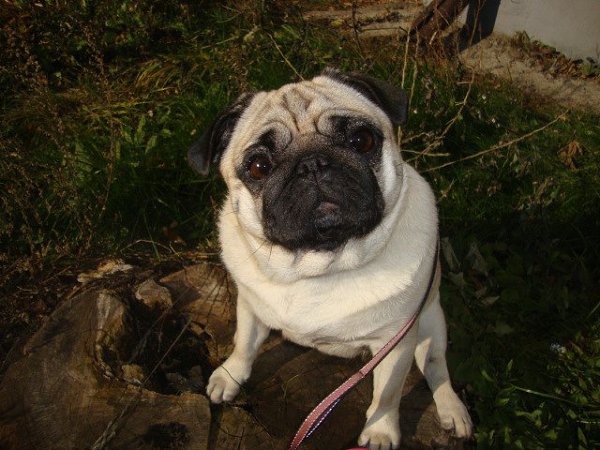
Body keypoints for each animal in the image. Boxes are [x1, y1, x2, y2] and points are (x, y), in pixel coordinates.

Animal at [188, 68, 472, 449]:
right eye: (259, 166)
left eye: (362, 140)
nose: (311, 164)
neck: (321, 268)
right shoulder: (250, 306)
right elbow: (244, 344)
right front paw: (230, 376)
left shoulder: (395, 343)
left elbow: (387, 395)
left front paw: (380, 432)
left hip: (430, 320)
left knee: (436, 365)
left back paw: (452, 409)